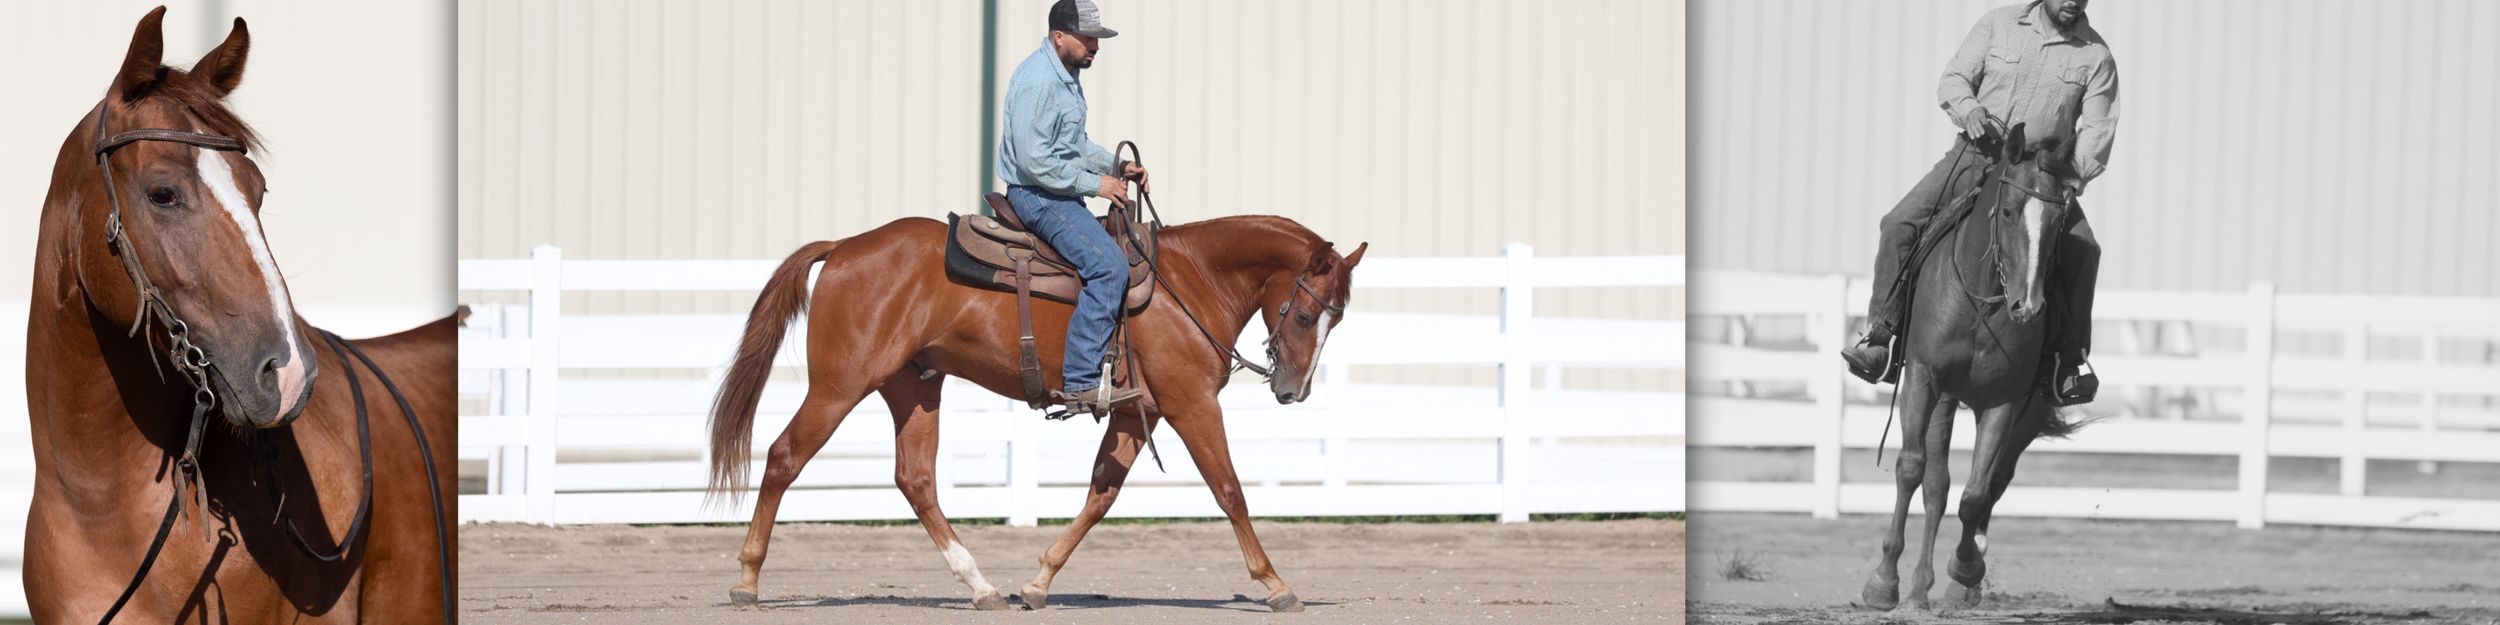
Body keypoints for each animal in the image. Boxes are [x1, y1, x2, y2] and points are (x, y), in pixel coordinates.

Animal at [706, 212, 1366, 613]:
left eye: (1336, 320)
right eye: (1307, 314)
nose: (1293, 390)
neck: (1189, 282)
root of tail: (843, 247)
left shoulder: (1135, 415)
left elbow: (1101, 495)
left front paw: (1039, 581)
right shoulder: (1191, 405)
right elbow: (1229, 490)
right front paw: (1276, 584)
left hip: (913, 388)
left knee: (915, 479)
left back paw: (980, 587)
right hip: (840, 385)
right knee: (784, 456)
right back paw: (746, 580)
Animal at [1862, 123, 2081, 611]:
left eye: (2059, 221)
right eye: (2008, 212)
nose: (2028, 307)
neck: (1981, 302)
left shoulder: (2006, 401)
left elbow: (1976, 494)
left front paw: (1964, 569)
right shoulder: (1923, 379)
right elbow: (1913, 470)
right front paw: (1885, 582)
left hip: (2028, 412)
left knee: (1991, 482)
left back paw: (1960, 580)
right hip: (1943, 398)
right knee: (1934, 483)